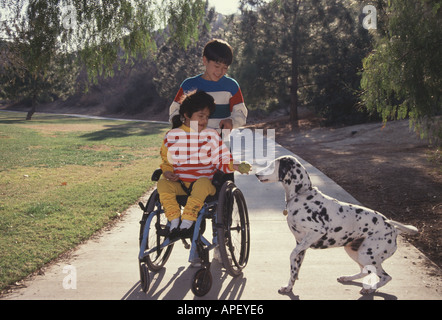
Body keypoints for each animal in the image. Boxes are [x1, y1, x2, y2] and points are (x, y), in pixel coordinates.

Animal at [256, 156, 418, 296]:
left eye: (272, 166)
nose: (257, 174)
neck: (301, 195)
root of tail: (392, 226)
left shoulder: (314, 233)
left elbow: (291, 256)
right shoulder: (301, 246)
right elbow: (294, 270)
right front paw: (289, 287)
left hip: (367, 255)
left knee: (386, 277)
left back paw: (370, 289)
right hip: (355, 251)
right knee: (365, 271)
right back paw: (347, 278)